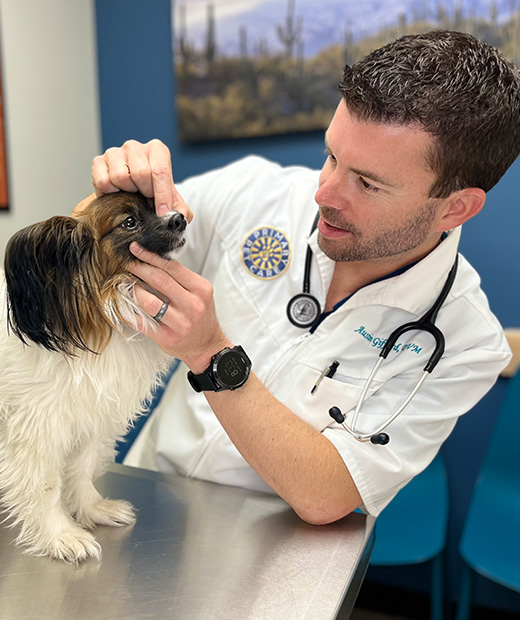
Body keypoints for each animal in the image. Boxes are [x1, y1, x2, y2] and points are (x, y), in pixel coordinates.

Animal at [0, 193, 187, 560]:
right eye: (129, 222)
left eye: (153, 205)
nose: (180, 218)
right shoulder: (39, 427)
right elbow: (46, 486)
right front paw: (59, 535)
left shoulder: (94, 415)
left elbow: (82, 469)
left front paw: (91, 510)